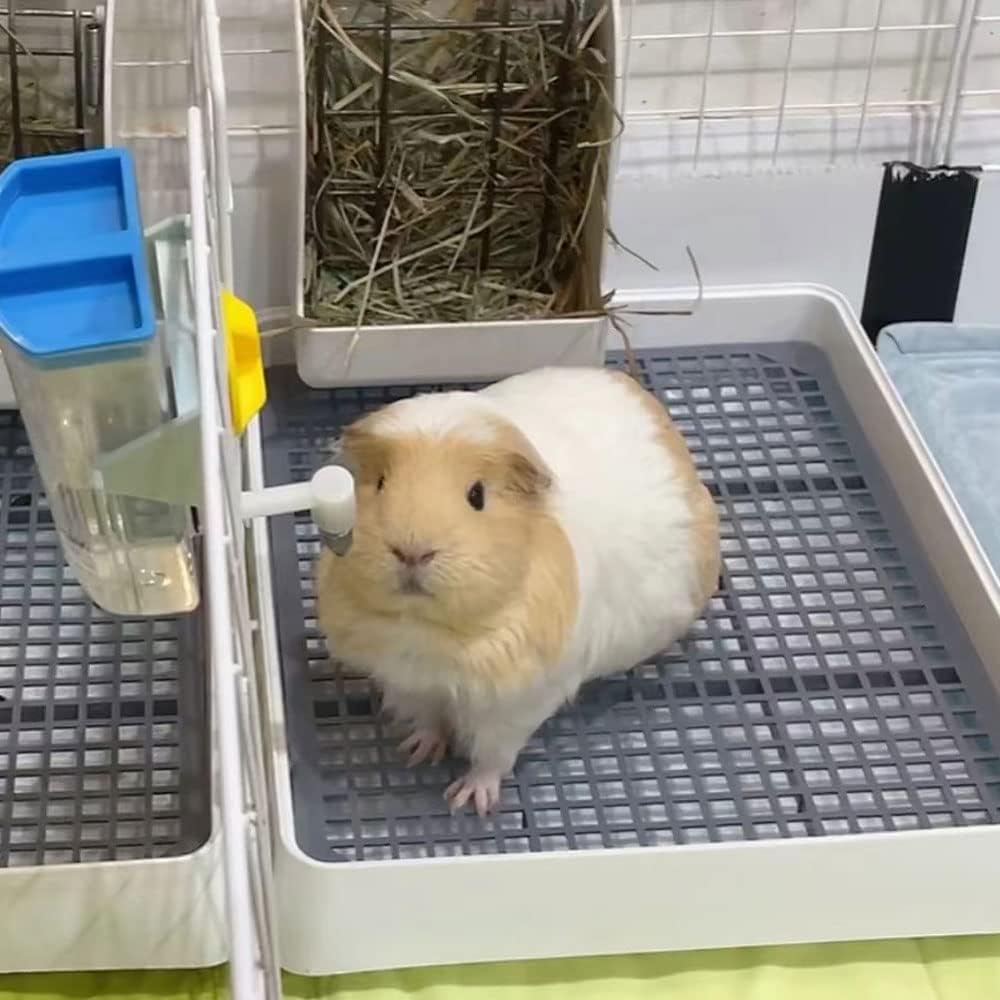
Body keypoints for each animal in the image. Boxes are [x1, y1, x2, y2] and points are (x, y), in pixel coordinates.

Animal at [315, 366, 720, 816]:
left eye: (477, 495)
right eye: (382, 483)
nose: (412, 551)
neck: (423, 633)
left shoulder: (513, 709)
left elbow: (490, 758)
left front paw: (468, 802)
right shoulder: (409, 685)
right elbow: (429, 722)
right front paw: (417, 752)